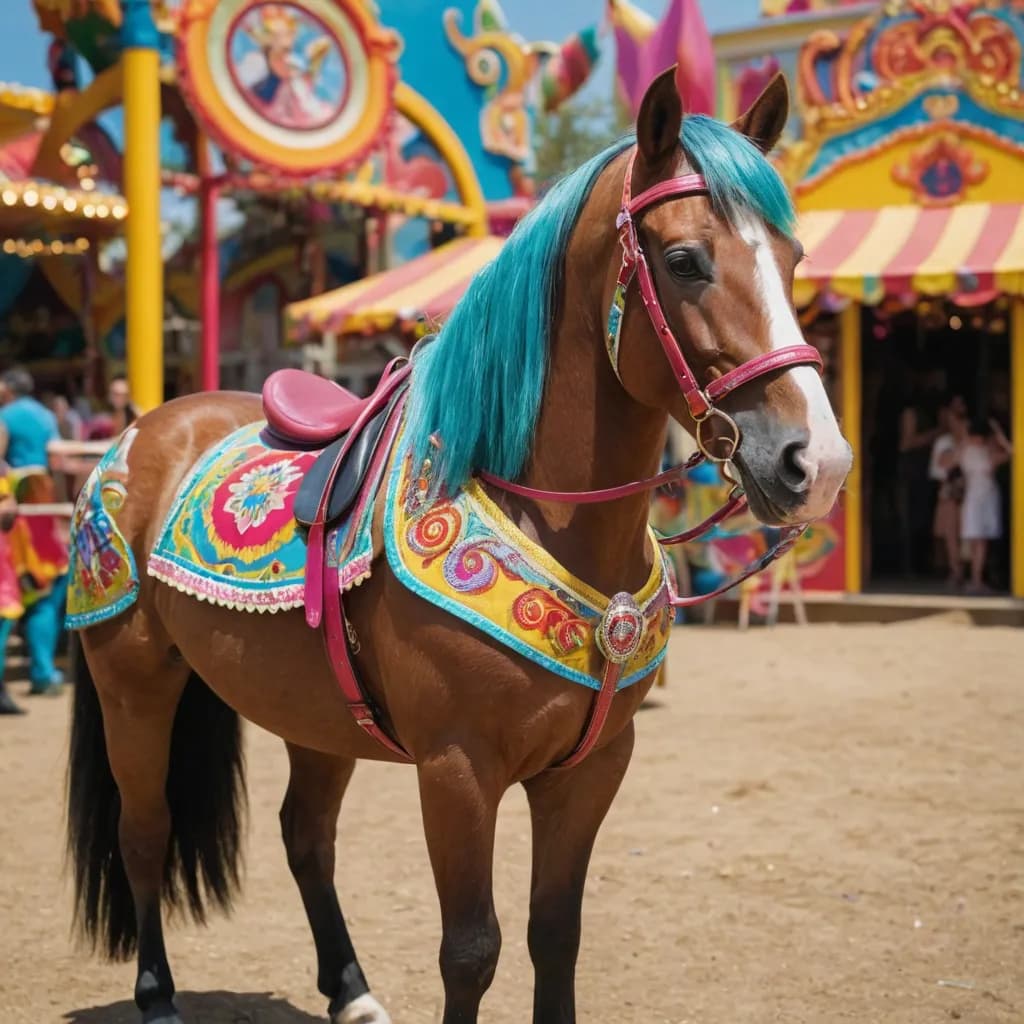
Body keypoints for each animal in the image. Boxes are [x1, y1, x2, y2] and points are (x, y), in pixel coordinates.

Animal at [66, 70, 851, 1024]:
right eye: (685, 261)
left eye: (794, 258)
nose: (816, 460)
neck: (544, 511)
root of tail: (148, 428)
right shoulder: (457, 771)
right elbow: (472, 951)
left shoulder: (592, 769)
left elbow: (556, 937)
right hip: (134, 685)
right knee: (145, 833)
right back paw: (158, 997)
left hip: (311, 713)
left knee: (306, 838)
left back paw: (352, 990)